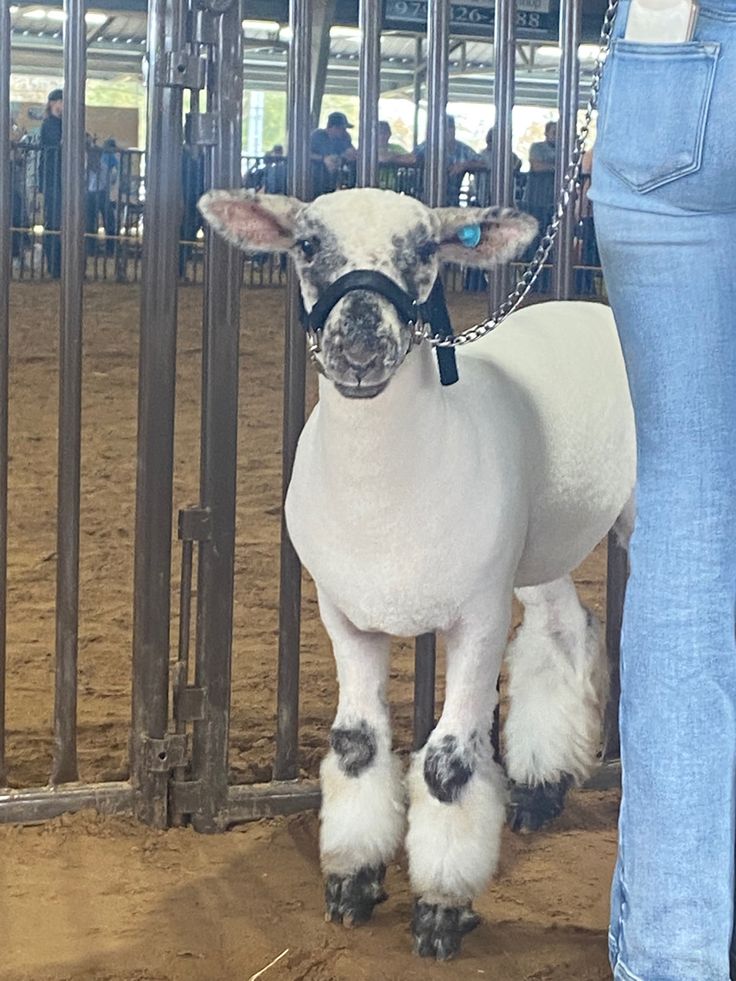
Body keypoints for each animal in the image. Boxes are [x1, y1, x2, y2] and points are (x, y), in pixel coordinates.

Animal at [198, 188, 636, 960]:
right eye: (305, 245)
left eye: (427, 249)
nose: (360, 338)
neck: (384, 501)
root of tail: (592, 306)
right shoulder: (342, 614)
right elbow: (356, 746)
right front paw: (352, 881)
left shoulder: (478, 619)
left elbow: (447, 765)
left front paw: (439, 909)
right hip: (535, 544)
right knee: (564, 627)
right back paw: (540, 785)